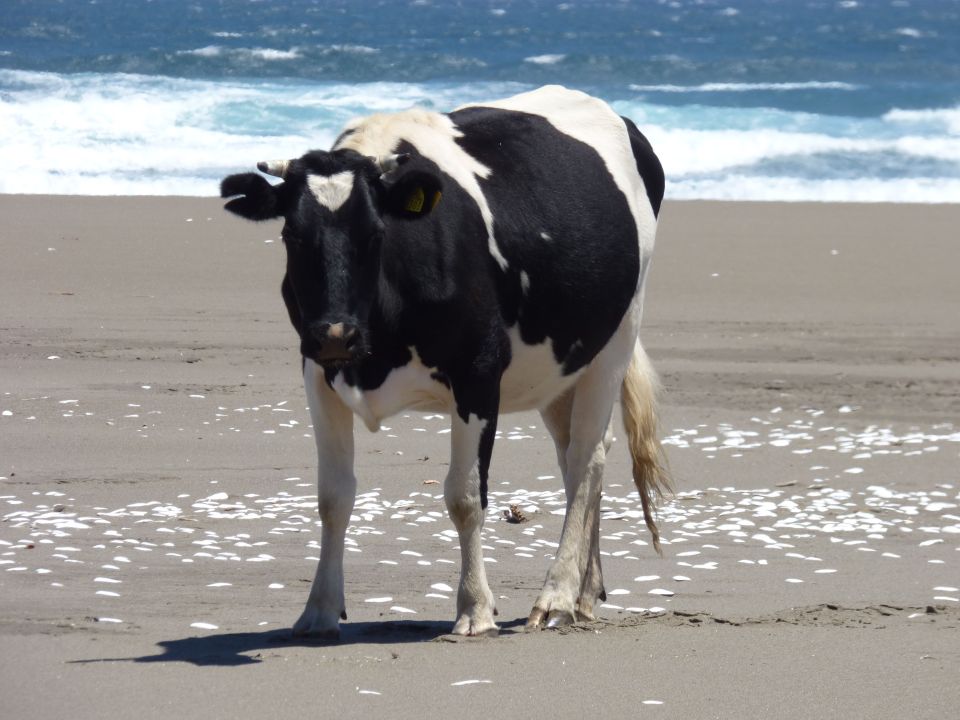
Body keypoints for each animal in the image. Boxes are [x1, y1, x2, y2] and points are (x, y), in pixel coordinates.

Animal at [220, 85, 669, 639]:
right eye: (292, 236)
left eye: (375, 234)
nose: (336, 333)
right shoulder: (318, 374)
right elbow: (333, 497)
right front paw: (319, 610)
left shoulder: (478, 371)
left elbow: (464, 496)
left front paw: (475, 607)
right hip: (560, 364)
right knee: (581, 456)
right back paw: (586, 593)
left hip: (617, 337)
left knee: (586, 458)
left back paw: (557, 596)